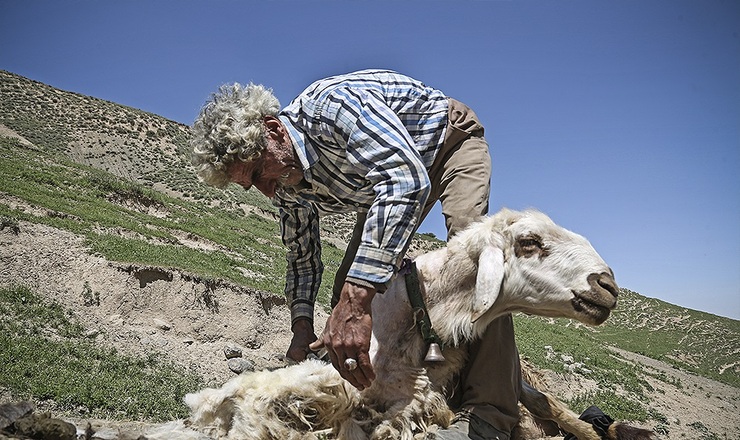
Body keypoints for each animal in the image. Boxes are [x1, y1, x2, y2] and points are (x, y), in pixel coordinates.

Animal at [169, 209, 652, 440]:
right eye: (530, 242)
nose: (607, 285)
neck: (421, 313)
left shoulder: (421, 393)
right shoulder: (349, 376)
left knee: (555, 409)